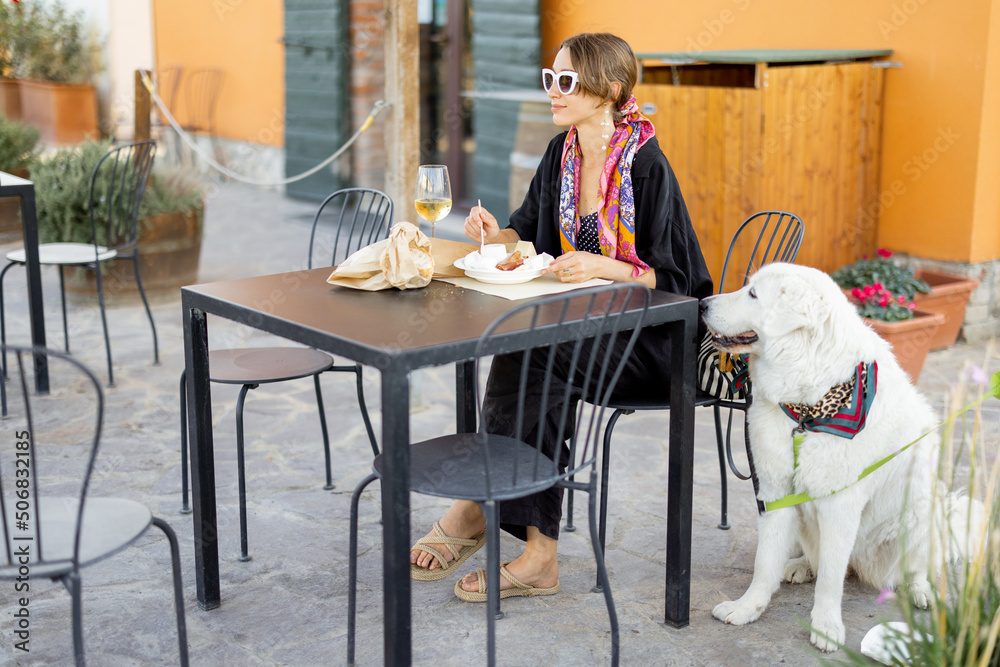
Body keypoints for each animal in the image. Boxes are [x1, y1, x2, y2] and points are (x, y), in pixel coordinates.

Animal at [704, 264, 984, 652]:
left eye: (754, 294)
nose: (701, 303)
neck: (807, 410)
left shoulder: (840, 504)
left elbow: (831, 579)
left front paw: (825, 627)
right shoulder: (776, 495)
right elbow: (765, 565)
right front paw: (748, 608)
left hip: (924, 509)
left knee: (913, 566)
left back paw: (921, 592)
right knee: (817, 559)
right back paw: (800, 566)